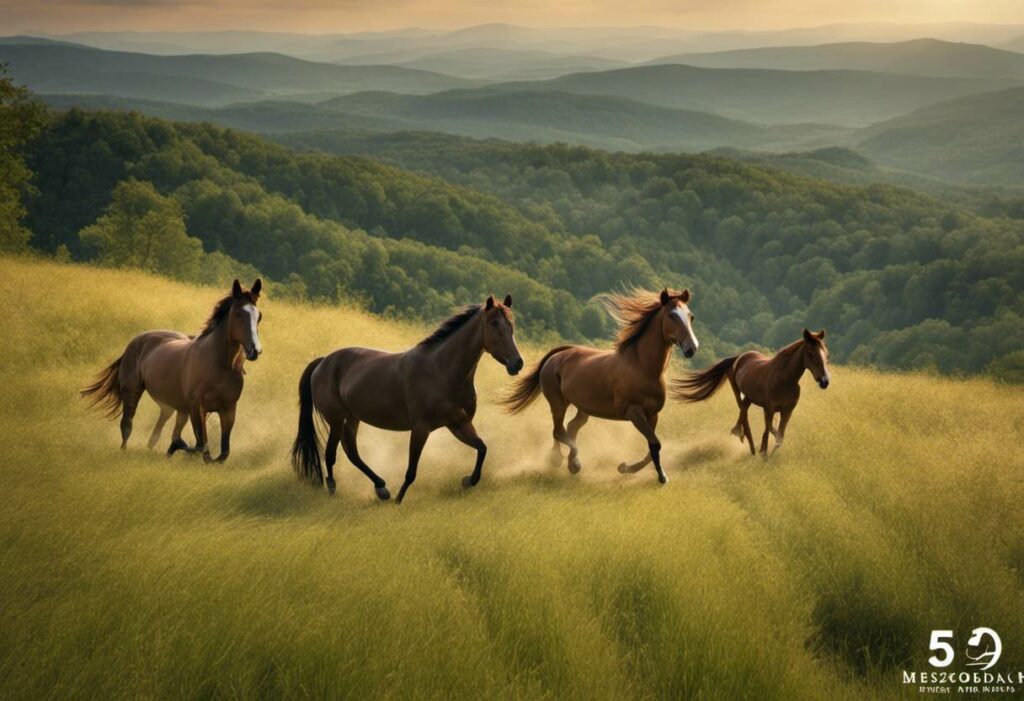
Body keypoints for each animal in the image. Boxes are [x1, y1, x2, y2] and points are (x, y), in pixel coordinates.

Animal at [80, 276, 264, 462]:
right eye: (238, 314)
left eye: (259, 316)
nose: (255, 350)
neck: (221, 366)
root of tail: (136, 340)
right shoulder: (197, 407)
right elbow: (201, 445)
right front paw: (177, 445)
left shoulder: (229, 409)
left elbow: (222, 453)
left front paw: (175, 447)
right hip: (132, 392)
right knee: (127, 425)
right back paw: (125, 452)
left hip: (171, 405)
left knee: (158, 429)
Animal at [292, 294, 524, 503]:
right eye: (494, 323)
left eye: (511, 323)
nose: (517, 363)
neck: (441, 371)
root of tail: (323, 362)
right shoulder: (421, 428)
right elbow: (411, 470)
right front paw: (398, 500)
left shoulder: (458, 424)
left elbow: (482, 448)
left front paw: (468, 481)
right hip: (336, 419)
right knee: (331, 454)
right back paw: (333, 489)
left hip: (352, 418)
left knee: (352, 453)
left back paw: (381, 488)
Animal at [501, 286, 696, 483]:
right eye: (672, 315)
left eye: (690, 316)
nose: (691, 348)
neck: (642, 368)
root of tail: (556, 357)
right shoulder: (633, 412)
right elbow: (655, 444)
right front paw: (658, 477)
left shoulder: (653, 414)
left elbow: (652, 446)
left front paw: (627, 468)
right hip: (558, 403)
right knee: (559, 431)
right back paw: (567, 461)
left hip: (583, 407)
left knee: (570, 427)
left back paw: (568, 463)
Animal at [671, 327, 831, 454]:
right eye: (810, 353)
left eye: (826, 353)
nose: (825, 381)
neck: (785, 380)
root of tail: (739, 357)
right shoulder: (769, 409)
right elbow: (771, 431)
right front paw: (763, 451)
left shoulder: (787, 410)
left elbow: (779, 436)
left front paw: (768, 454)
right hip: (737, 391)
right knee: (743, 413)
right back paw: (748, 442)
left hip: (748, 396)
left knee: (743, 411)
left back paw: (741, 435)